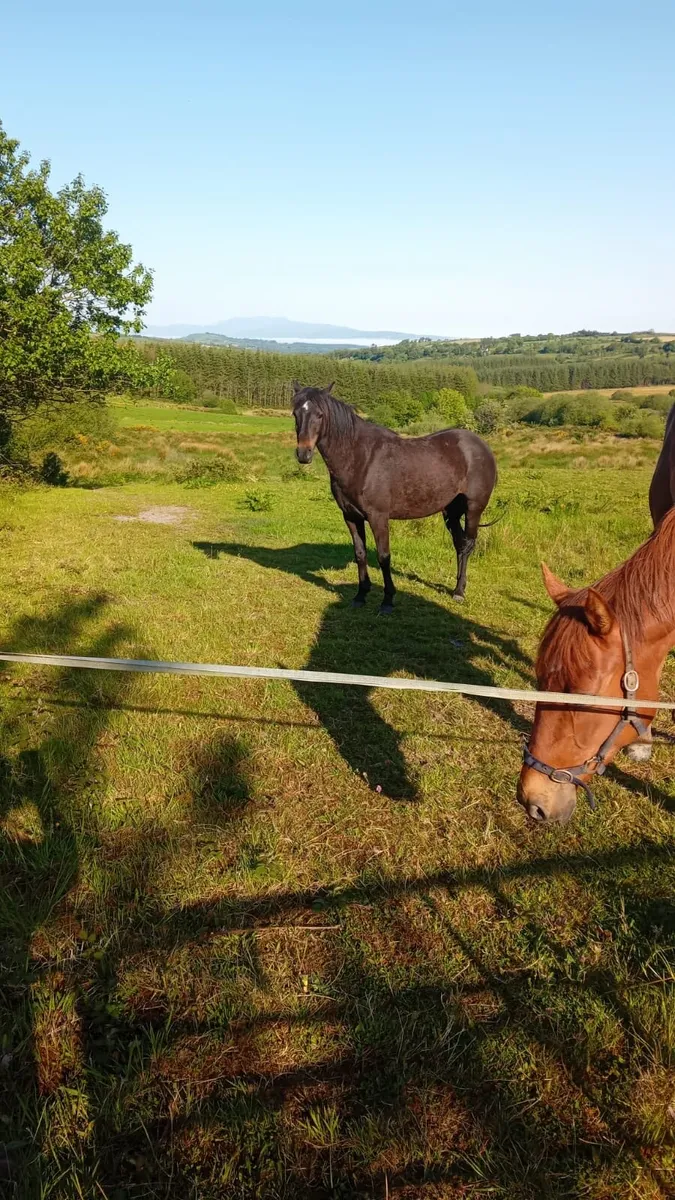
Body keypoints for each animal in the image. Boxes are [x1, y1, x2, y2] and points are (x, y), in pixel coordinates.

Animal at [291, 382, 497, 613]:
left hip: (474, 509)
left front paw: (387, 600)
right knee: (459, 544)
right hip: (451, 512)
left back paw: (459, 592)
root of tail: (481, 446)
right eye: (295, 413)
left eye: (320, 414)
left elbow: (383, 556)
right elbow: (360, 554)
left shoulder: (378, 517)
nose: (304, 454)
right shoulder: (351, 516)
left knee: (468, 545)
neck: (359, 457)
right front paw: (360, 595)